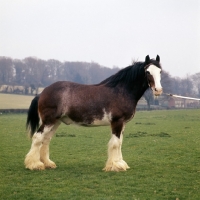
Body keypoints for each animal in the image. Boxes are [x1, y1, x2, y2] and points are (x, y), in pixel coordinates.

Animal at [25, 55, 162, 172]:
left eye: (160, 71)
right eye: (148, 72)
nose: (158, 90)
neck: (121, 91)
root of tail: (42, 92)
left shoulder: (123, 124)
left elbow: (119, 143)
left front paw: (120, 163)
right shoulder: (117, 122)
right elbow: (115, 143)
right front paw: (115, 166)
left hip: (56, 122)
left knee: (46, 140)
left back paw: (47, 163)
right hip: (49, 121)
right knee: (37, 137)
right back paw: (35, 164)